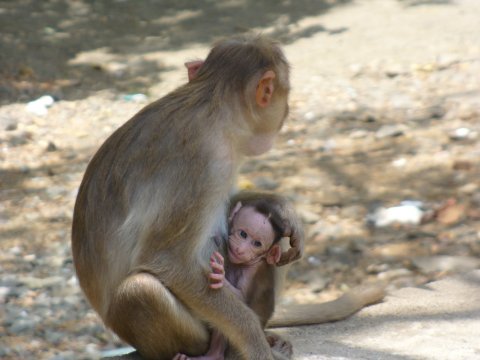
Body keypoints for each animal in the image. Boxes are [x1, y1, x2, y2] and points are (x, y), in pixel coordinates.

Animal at [176, 200, 288, 360]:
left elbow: (242, 297)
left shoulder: (251, 271)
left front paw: (220, 275)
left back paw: (215, 355)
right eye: (243, 234)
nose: (241, 249)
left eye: (257, 244)